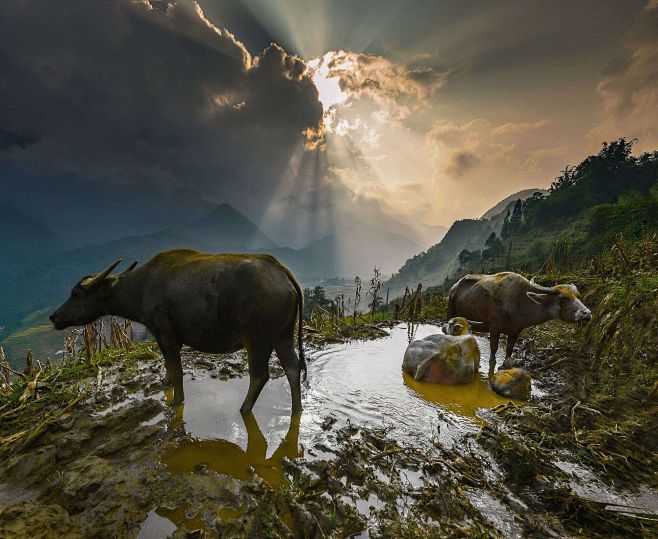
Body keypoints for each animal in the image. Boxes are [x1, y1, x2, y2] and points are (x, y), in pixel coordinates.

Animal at [50, 250, 306, 414]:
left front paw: (177, 400)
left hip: (258, 340)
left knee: (260, 375)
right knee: (293, 367)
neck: (141, 288)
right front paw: (165, 384)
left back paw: (244, 409)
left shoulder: (165, 334)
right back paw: (297, 408)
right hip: (283, 334)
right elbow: (168, 366)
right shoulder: (169, 338)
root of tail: (282, 272)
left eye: (76, 293)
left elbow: (176, 368)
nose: (54, 317)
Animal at [446, 272, 588, 370]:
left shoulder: (515, 332)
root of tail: (454, 287)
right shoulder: (494, 328)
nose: (587, 313)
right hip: (450, 313)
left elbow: (509, 350)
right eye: (563, 298)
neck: (519, 302)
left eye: (578, 296)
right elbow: (493, 351)